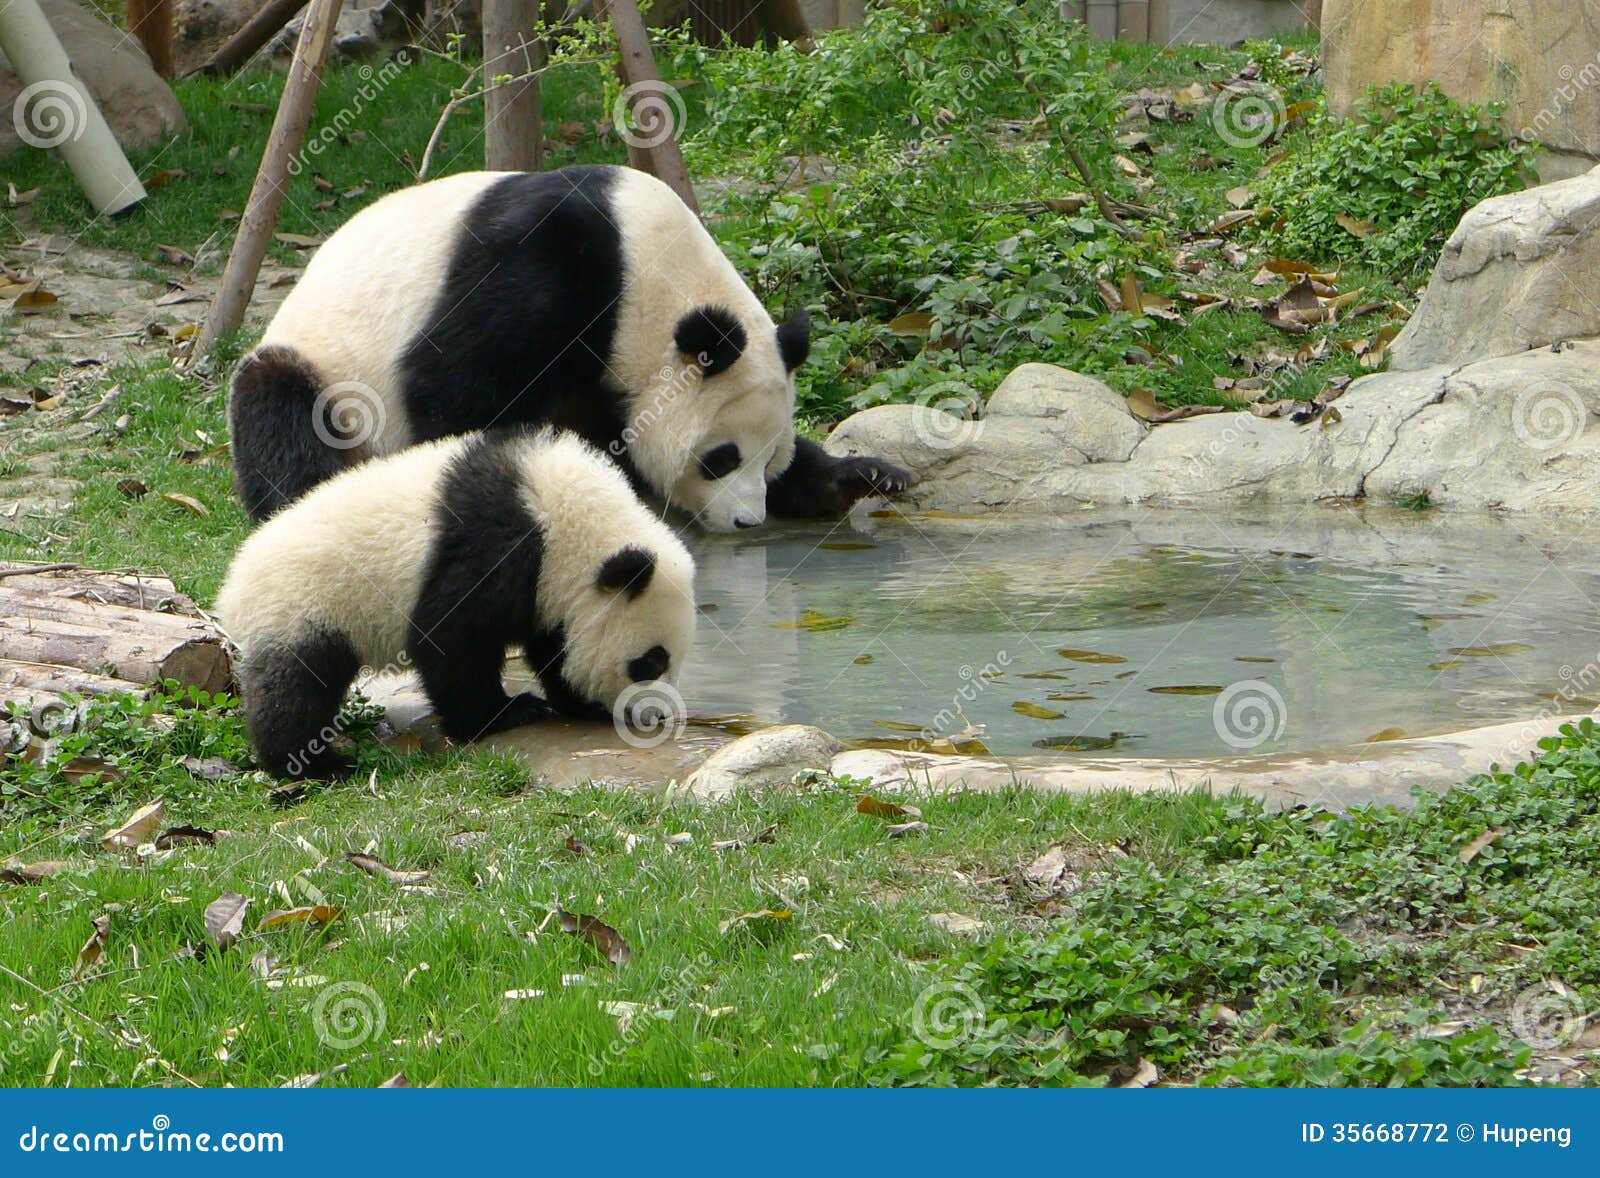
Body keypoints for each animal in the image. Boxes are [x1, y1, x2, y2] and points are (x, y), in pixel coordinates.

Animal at [212, 428, 694, 777]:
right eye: (650, 661)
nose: (652, 714)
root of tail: (233, 587)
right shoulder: (498, 546)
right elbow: (452, 639)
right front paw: (503, 714)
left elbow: (552, 646)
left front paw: (578, 702)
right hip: (305, 605)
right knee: (297, 688)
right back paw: (312, 764)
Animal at [235, 163, 915, 531]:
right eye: (721, 458)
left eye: (769, 460)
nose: (747, 519)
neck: (649, 274)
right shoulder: (543, 266)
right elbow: (452, 387)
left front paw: (861, 476)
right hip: (328, 369)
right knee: (285, 416)